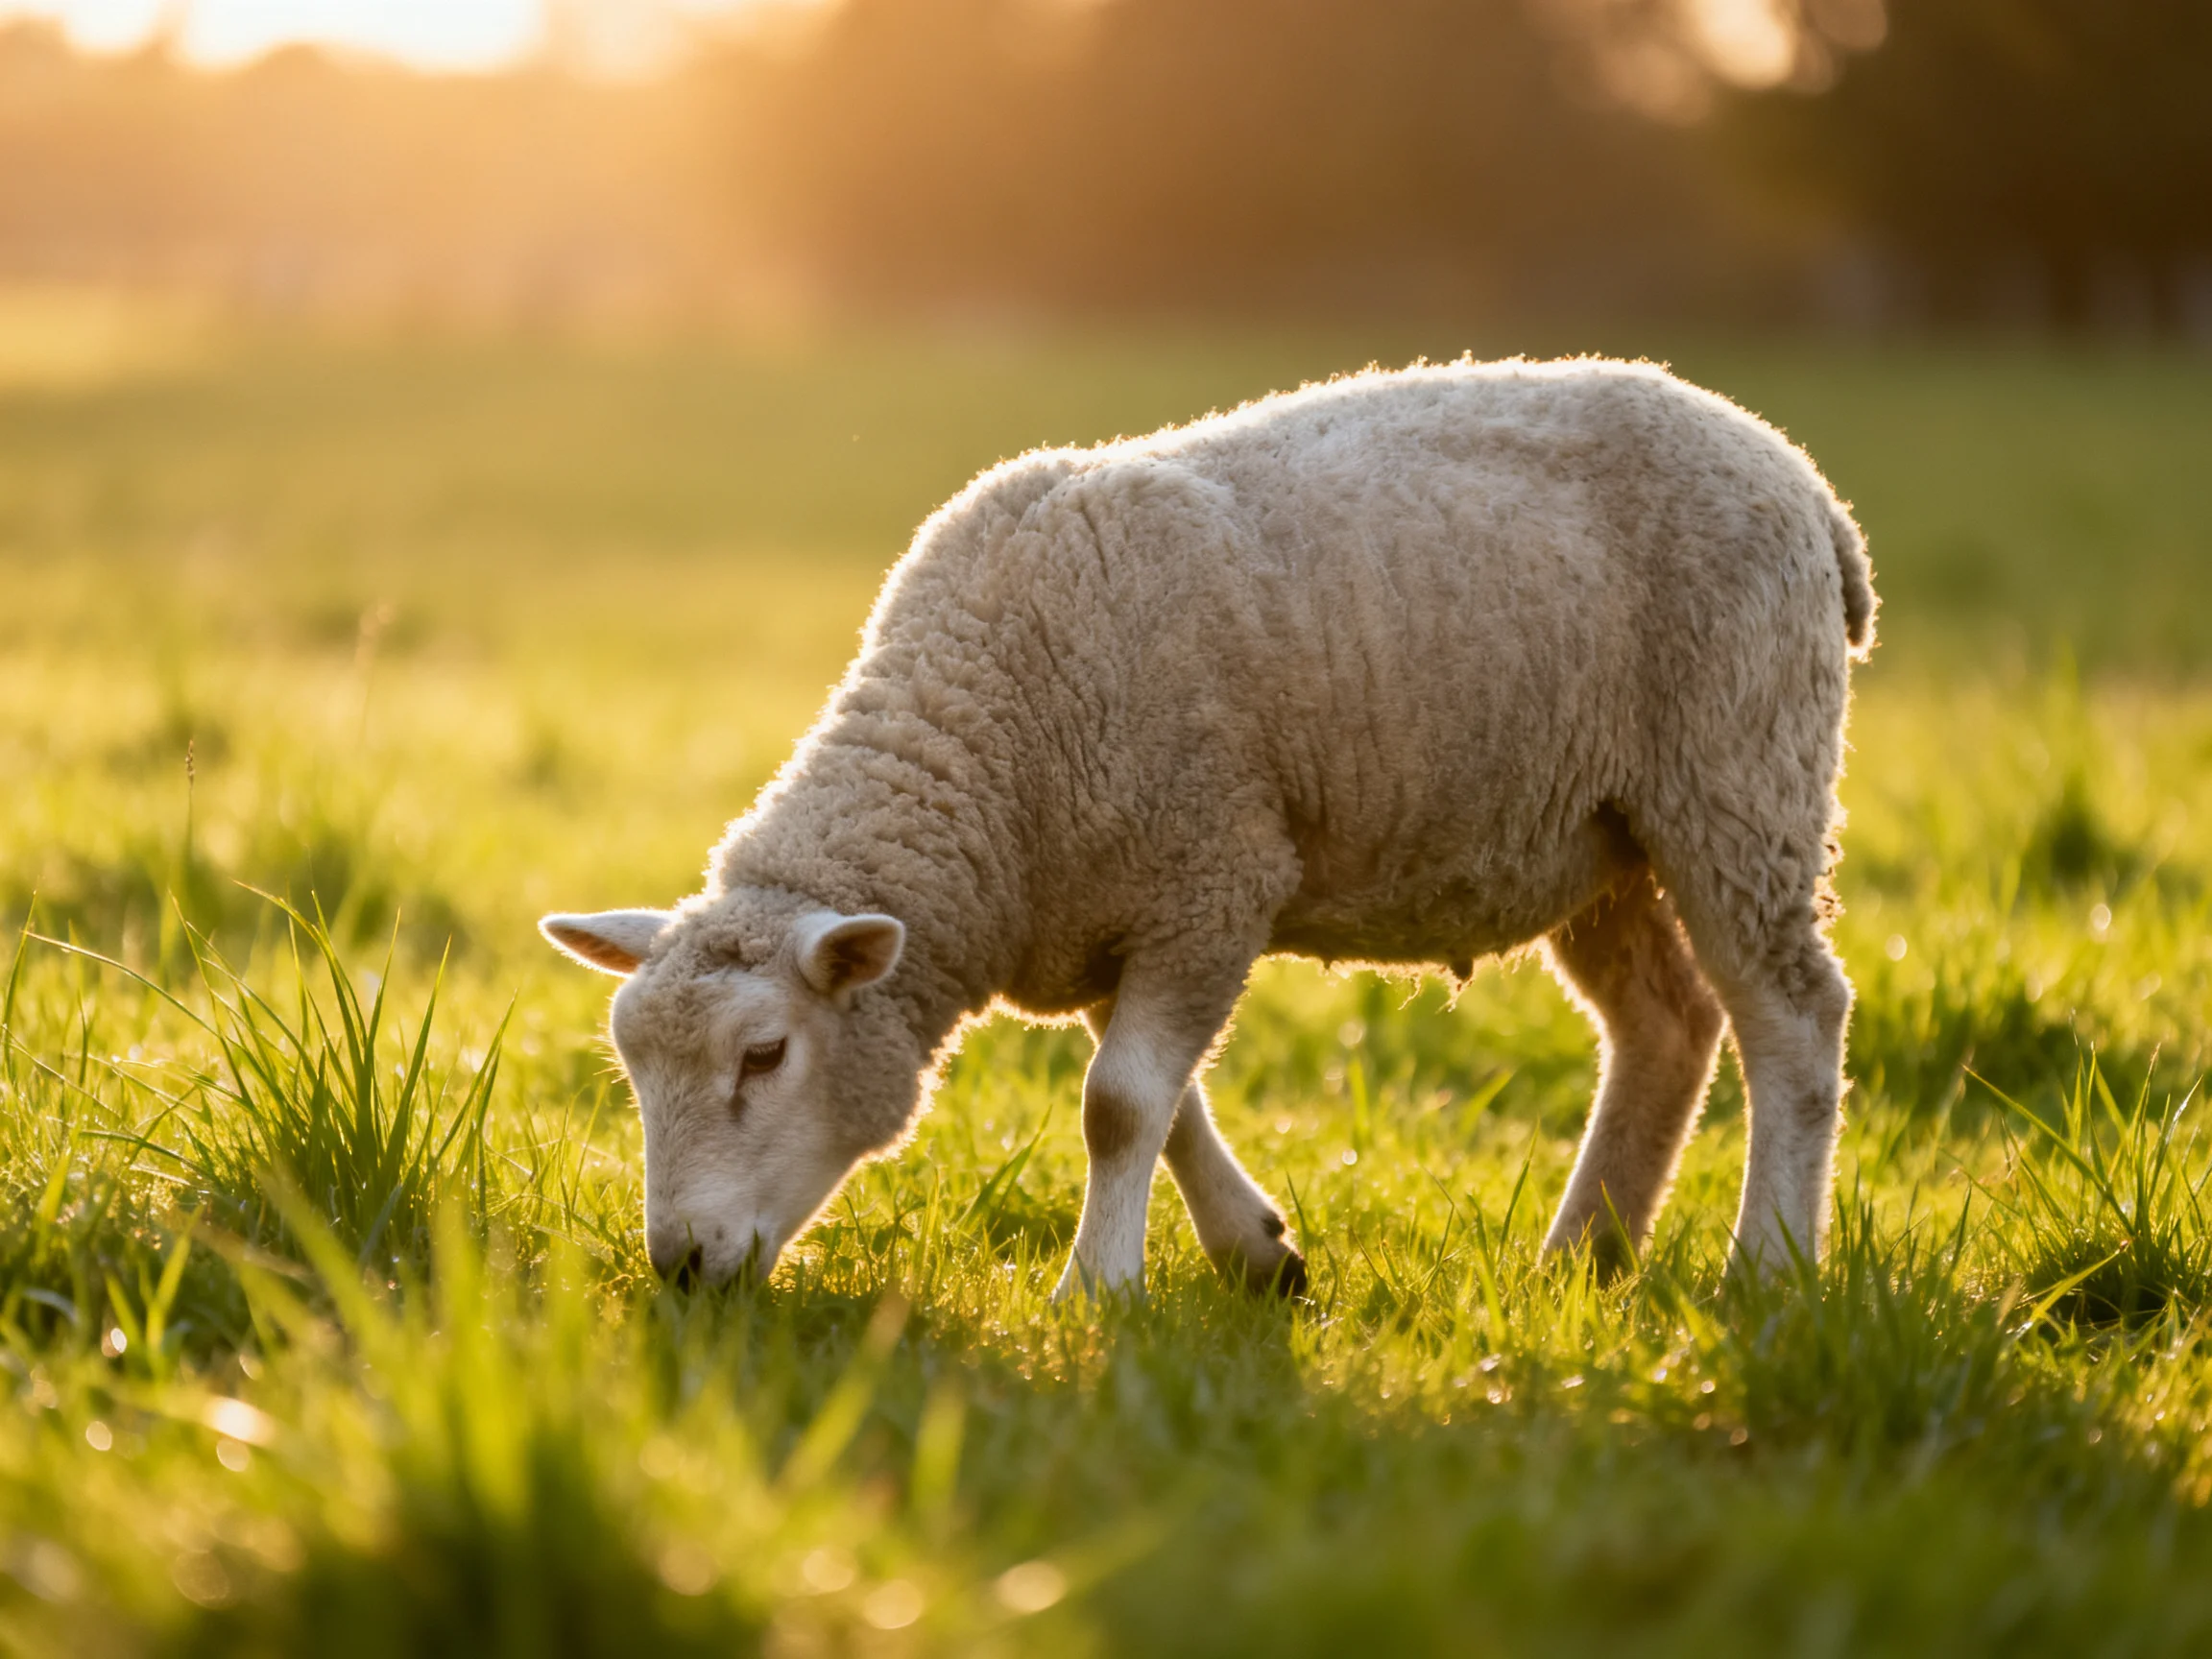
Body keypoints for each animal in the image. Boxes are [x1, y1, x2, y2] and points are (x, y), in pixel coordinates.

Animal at [542, 356, 1877, 1299]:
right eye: (632, 1070)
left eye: (764, 1056)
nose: (680, 1267)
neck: (991, 754)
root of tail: (1807, 482)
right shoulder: (1119, 914)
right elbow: (1162, 1099)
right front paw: (1257, 1255)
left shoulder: (1212, 874)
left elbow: (1119, 1104)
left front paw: (1097, 1290)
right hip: (1597, 836)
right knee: (1666, 1024)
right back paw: (1581, 1256)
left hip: (1738, 773)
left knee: (1793, 1016)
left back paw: (1767, 1263)